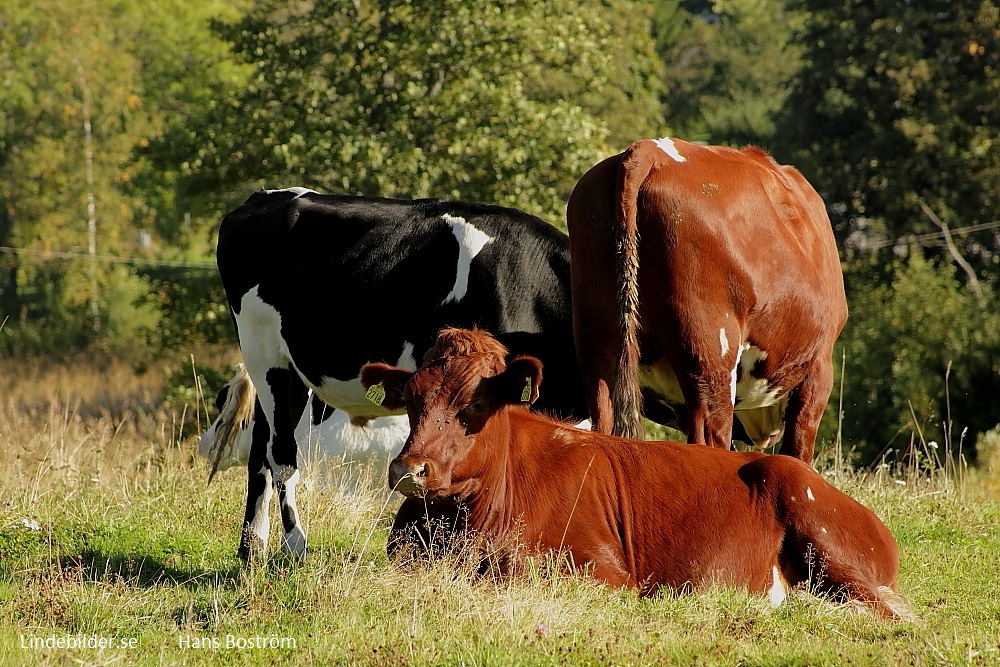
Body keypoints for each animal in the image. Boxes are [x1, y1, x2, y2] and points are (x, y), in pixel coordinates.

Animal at [214, 188, 584, 560]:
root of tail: (265, 196)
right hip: (263, 352)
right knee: (281, 454)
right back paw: (294, 547)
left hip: (286, 371)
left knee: (260, 448)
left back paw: (251, 549)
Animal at [362, 328, 916, 620]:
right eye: (410, 403)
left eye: (474, 404)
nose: (409, 468)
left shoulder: (603, 569)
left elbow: (519, 572)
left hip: (820, 529)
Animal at [568, 138, 848, 462]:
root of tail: (650, 150)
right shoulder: (819, 369)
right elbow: (797, 449)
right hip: (710, 351)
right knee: (709, 438)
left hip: (597, 342)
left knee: (602, 421)